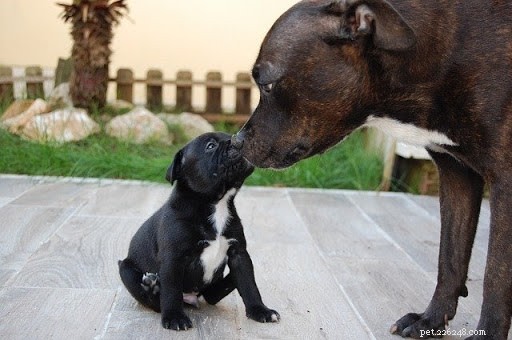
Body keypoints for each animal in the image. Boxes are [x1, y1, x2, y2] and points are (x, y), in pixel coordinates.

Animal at [119, 132, 280, 330]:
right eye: (210, 146)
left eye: (230, 136)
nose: (237, 140)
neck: (216, 203)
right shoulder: (173, 259)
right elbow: (171, 291)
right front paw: (174, 317)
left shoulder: (239, 254)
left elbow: (249, 284)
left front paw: (260, 310)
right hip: (125, 269)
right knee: (154, 301)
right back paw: (152, 287)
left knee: (214, 294)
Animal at [231, 0, 512, 340]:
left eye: (268, 84)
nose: (236, 141)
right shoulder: (457, 176)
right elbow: (450, 259)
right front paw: (430, 320)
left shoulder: (506, 184)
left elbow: (496, 276)